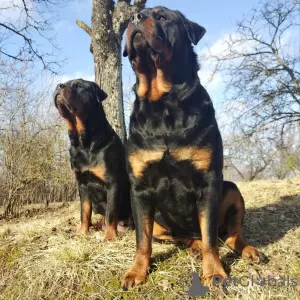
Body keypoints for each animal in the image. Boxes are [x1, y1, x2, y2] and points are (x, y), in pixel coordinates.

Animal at [53, 78, 132, 240]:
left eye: (78, 86)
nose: (59, 85)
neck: (83, 143)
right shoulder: (82, 184)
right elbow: (84, 211)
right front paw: (83, 232)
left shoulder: (113, 183)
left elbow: (111, 213)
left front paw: (109, 237)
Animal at [122, 6, 260, 288]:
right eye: (132, 18)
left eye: (162, 17)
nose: (135, 18)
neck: (163, 104)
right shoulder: (139, 188)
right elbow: (142, 239)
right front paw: (136, 272)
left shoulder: (209, 181)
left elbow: (209, 236)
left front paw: (215, 272)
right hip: (160, 222)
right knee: (182, 237)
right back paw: (193, 246)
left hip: (231, 189)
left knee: (231, 234)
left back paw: (247, 249)